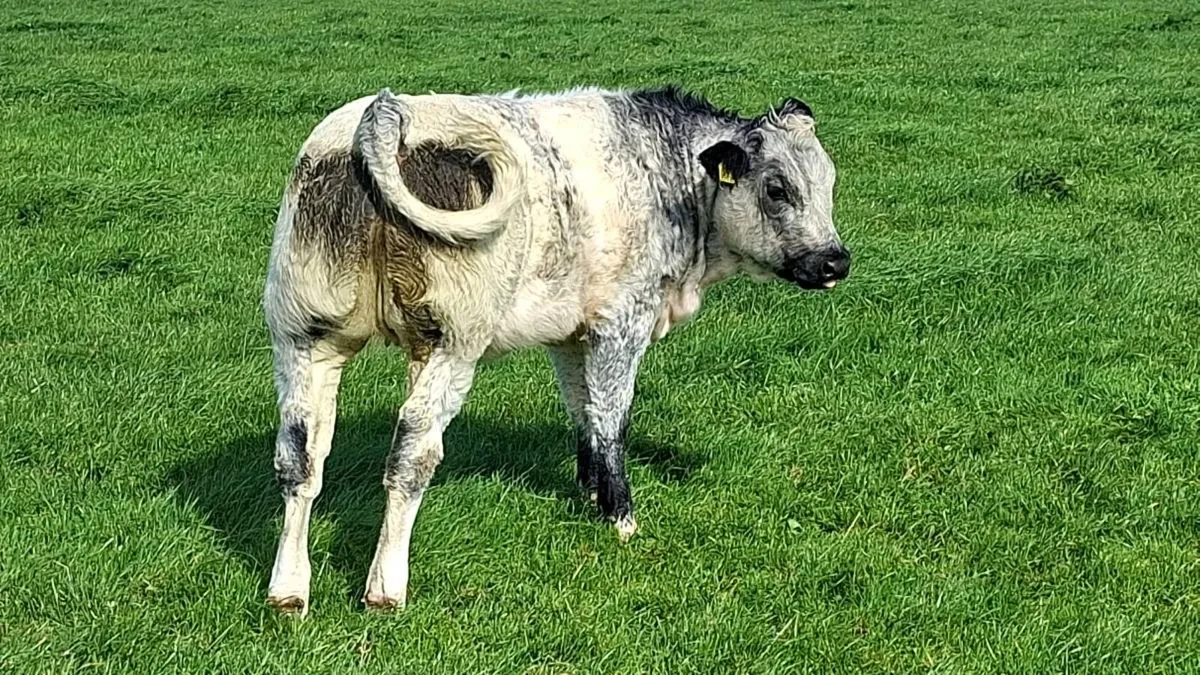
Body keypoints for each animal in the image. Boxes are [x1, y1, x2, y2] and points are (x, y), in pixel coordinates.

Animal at [262, 85, 849, 616]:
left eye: (829, 181)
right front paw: (619, 515)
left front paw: (590, 491)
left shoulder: (570, 334)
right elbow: (612, 420)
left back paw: (288, 590)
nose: (835, 261)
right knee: (411, 455)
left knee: (299, 455)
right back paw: (386, 587)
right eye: (777, 188)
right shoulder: (621, 323)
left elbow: (582, 409)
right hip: (450, 344)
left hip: (304, 335)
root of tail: (383, 115)